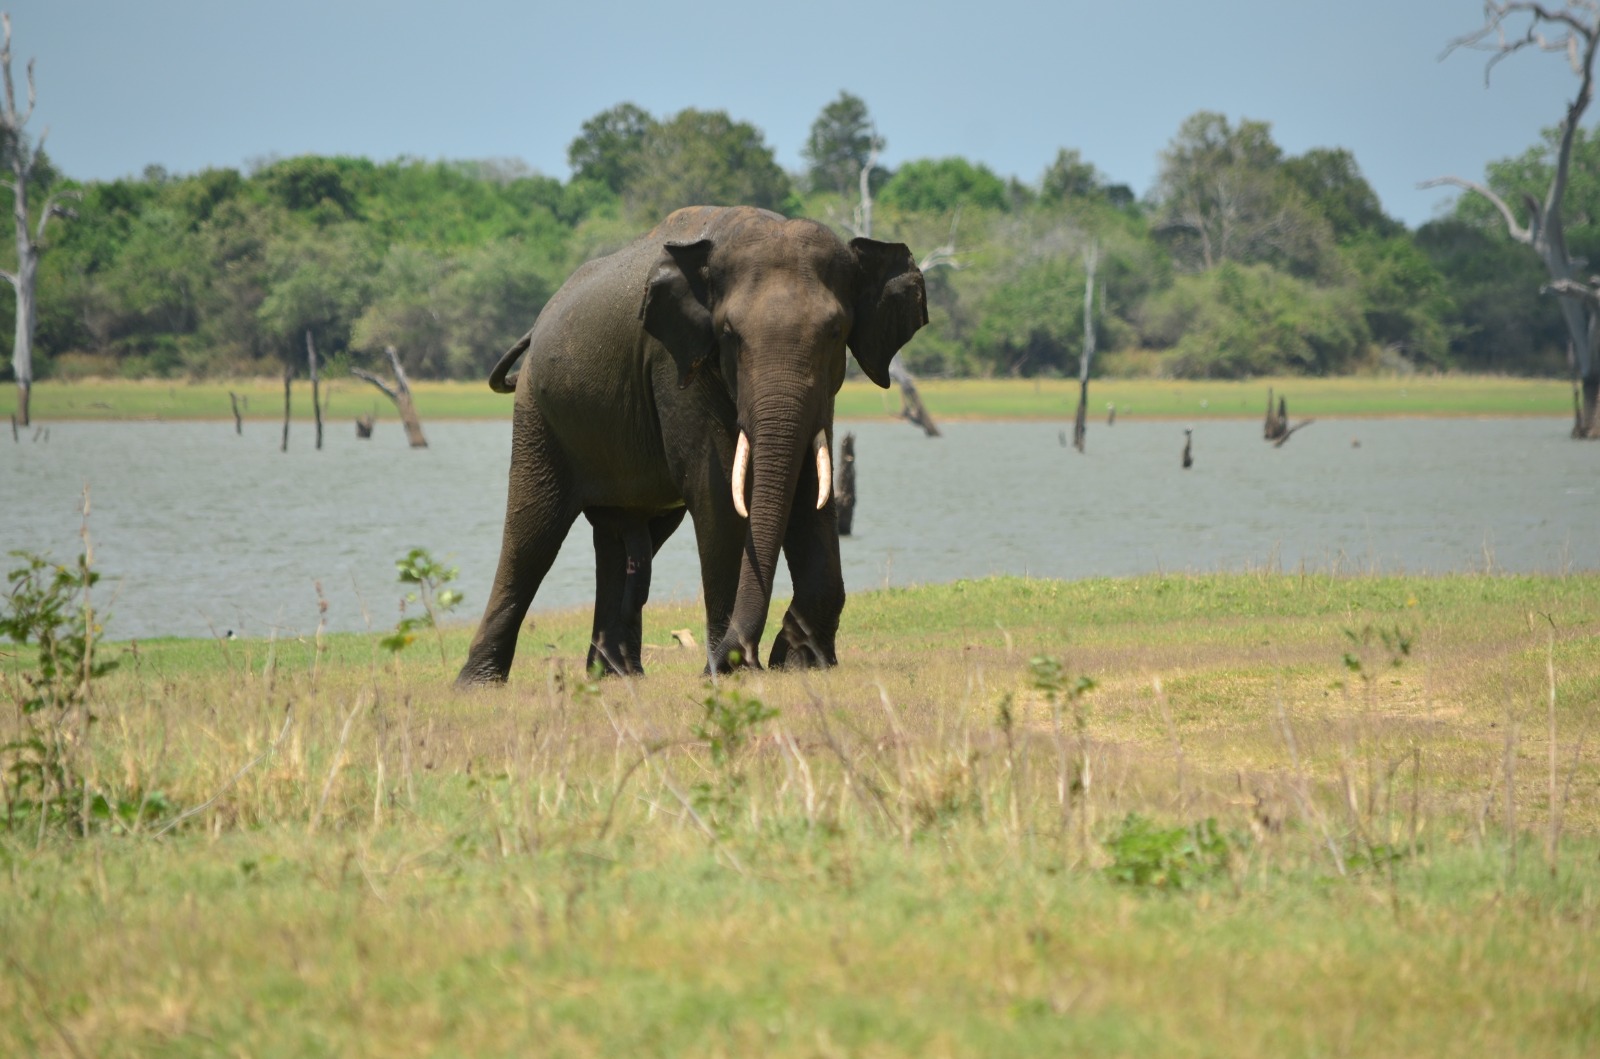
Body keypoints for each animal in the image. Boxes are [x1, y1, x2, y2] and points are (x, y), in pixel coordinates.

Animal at [455, 205, 927, 686]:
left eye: (835, 332)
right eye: (730, 333)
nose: (739, 657)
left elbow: (811, 488)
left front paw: (800, 661)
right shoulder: (674, 362)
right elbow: (716, 491)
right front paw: (728, 671)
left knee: (625, 537)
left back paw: (615, 675)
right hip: (539, 412)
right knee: (532, 534)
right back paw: (478, 682)